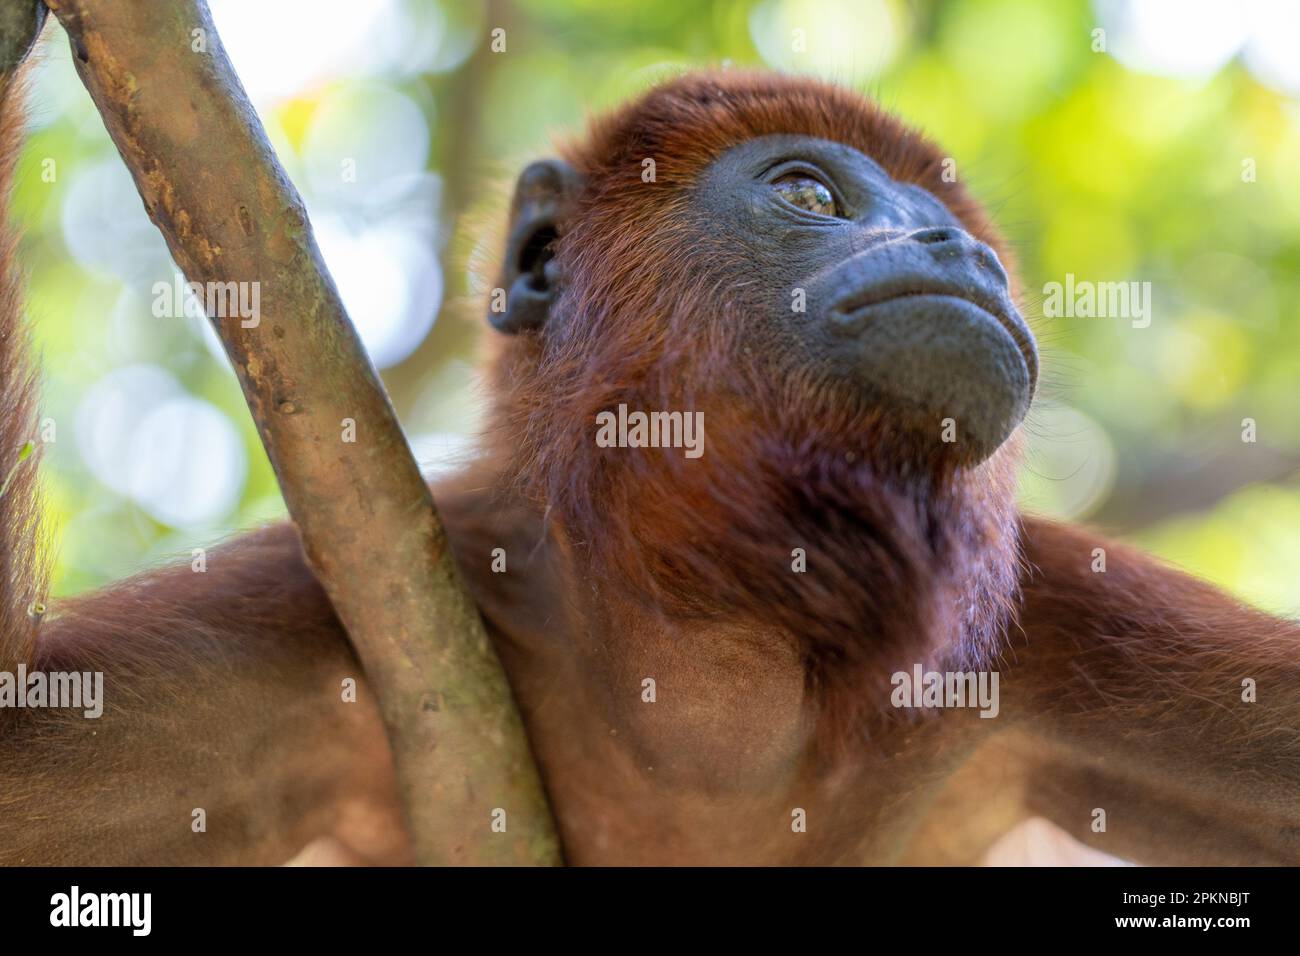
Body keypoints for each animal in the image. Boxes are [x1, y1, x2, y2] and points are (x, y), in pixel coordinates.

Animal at [2, 52, 1300, 868]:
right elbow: (28, 764)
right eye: (809, 191)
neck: (724, 655)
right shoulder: (324, 621)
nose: (960, 249)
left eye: (958, 225)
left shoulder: (1058, 625)